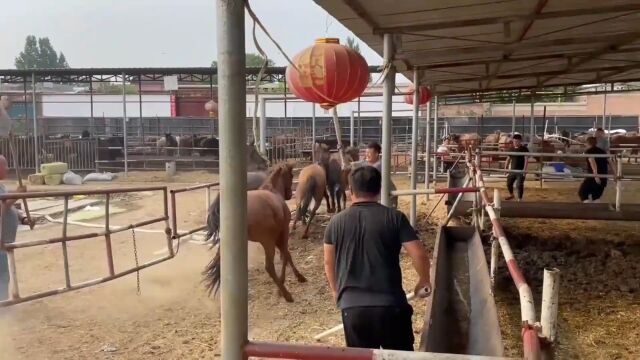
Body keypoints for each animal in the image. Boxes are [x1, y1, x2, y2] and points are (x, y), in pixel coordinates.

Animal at [204, 162, 306, 302]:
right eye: (291, 175)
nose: (290, 194)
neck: (273, 191)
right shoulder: (283, 232)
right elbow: (285, 256)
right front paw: (286, 283)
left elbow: (287, 255)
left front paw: (298, 277)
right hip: (267, 242)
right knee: (269, 267)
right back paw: (287, 294)